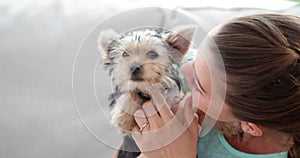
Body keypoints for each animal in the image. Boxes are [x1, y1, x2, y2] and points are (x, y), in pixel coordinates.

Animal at [97, 25, 197, 157]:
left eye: (152, 54)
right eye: (125, 54)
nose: (134, 67)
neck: (144, 88)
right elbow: (129, 93)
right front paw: (123, 118)